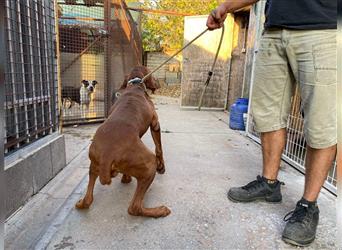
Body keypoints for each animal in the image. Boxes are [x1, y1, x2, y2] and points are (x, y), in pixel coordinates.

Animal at [75, 65, 170, 218]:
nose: (158, 83)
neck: (135, 86)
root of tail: (107, 154)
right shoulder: (155, 124)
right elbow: (159, 148)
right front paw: (162, 167)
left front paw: (125, 177)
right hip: (150, 163)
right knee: (134, 208)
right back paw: (160, 210)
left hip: (93, 163)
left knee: (89, 198)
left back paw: (82, 203)